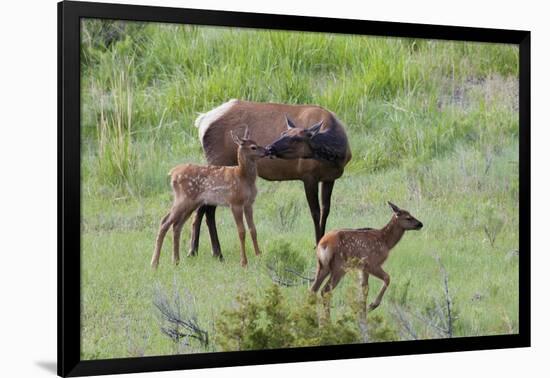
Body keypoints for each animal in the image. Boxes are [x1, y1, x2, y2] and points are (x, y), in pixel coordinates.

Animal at [152, 128, 268, 270]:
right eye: (253, 147)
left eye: (257, 142)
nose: (267, 151)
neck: (243, 178)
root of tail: (172, 173)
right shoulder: (235, 202)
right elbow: (241, 231)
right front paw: (244, 262)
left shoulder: (249, 204)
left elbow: (253, 229)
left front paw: (259, 255)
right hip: (183, 199)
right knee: (165, 222)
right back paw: (155, 263)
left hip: (190, 203)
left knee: (177, 225)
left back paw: (176, 261)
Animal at [190, 100, 354, 260]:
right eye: (283, 133)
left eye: (296, 138)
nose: (270, 148)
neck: (336, 155)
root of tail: (202, 121)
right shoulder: (308, 176)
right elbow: (315, 212)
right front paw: (317, 244)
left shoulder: (329, 178)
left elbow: (326, 210)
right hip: (218, 161)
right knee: (206, 207)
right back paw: (204, 251)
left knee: (205, 207)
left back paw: (204, 251)